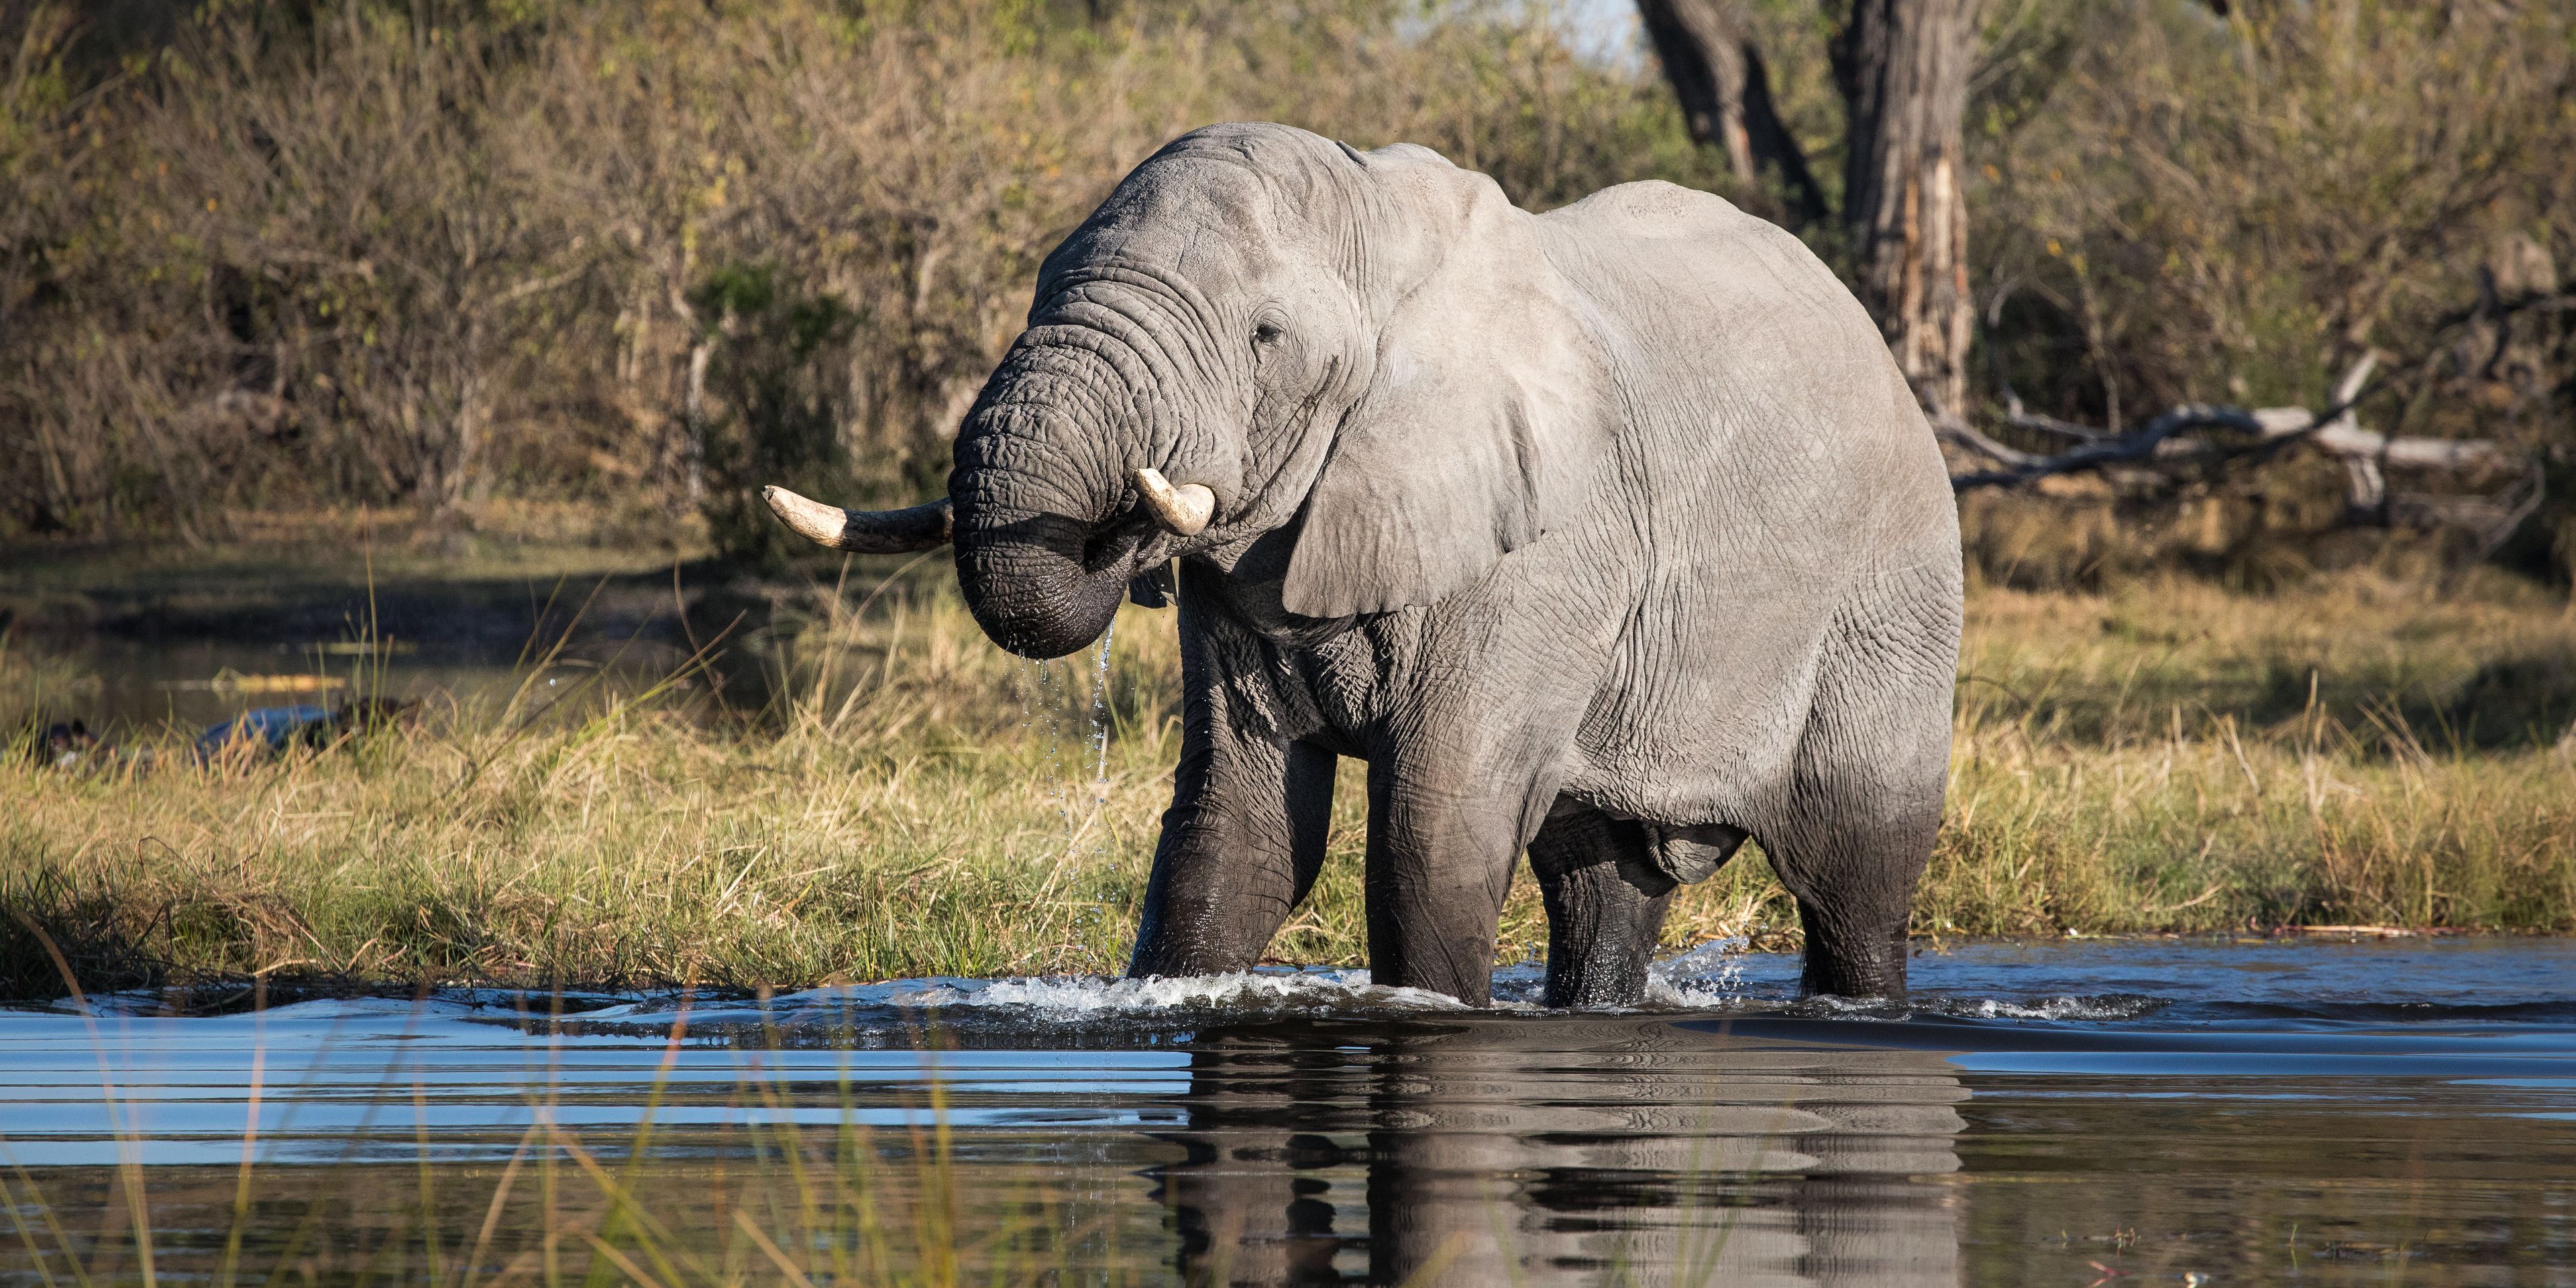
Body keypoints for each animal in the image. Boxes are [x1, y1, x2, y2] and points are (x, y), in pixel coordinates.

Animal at [765, 122, 1961, 1008]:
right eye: (1040, 285)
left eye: (1265, 337)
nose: (1124, 524)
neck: (1382, 228)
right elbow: (1237, 834)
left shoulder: (1547, 547)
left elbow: (1433, 837)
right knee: (1601, 883)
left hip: (1892, 591)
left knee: (1854, 872)